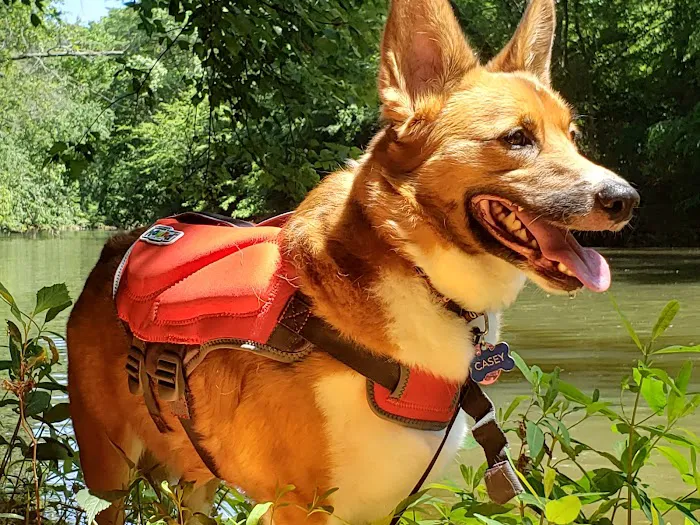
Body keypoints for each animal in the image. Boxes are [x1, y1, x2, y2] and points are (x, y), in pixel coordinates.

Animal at [67, 0, 639, 523]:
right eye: (517, 138)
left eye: (574, 138)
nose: (626, 199)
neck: (417, 274)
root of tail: (122, 244)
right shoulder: (301, 507)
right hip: (108, 475)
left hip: (195, 484)